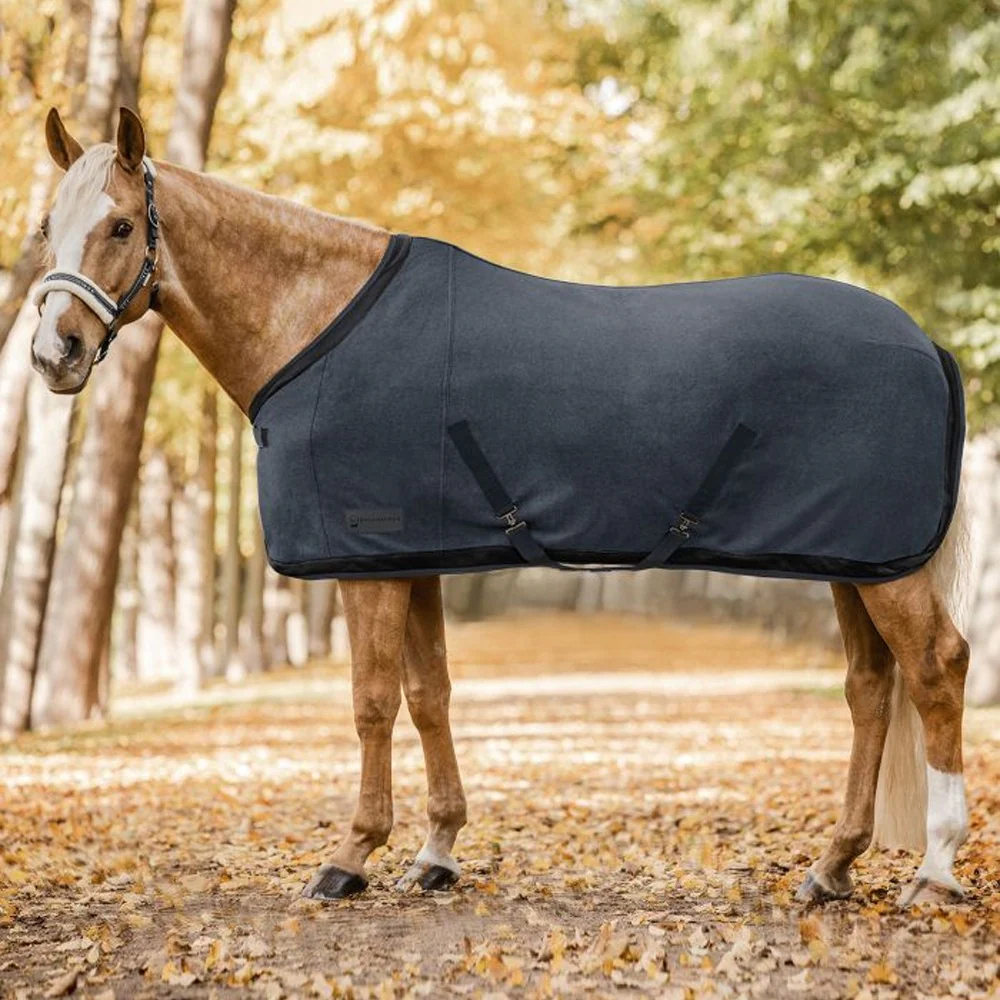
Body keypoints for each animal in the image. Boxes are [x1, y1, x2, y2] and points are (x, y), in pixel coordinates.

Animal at [29, 106, 972, 907]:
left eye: (121, 225)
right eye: (45, 228)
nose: (53, 354)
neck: (318, 322)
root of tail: (925, 342)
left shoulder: (366, 560)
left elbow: (372, 701)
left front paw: (350, 856)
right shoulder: (411, 557)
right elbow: (429, 694)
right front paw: (436, 852)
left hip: (888, 567)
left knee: (935, 669)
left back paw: (933, 870)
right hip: (854, 560)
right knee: (869, 687)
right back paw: (833, 867)